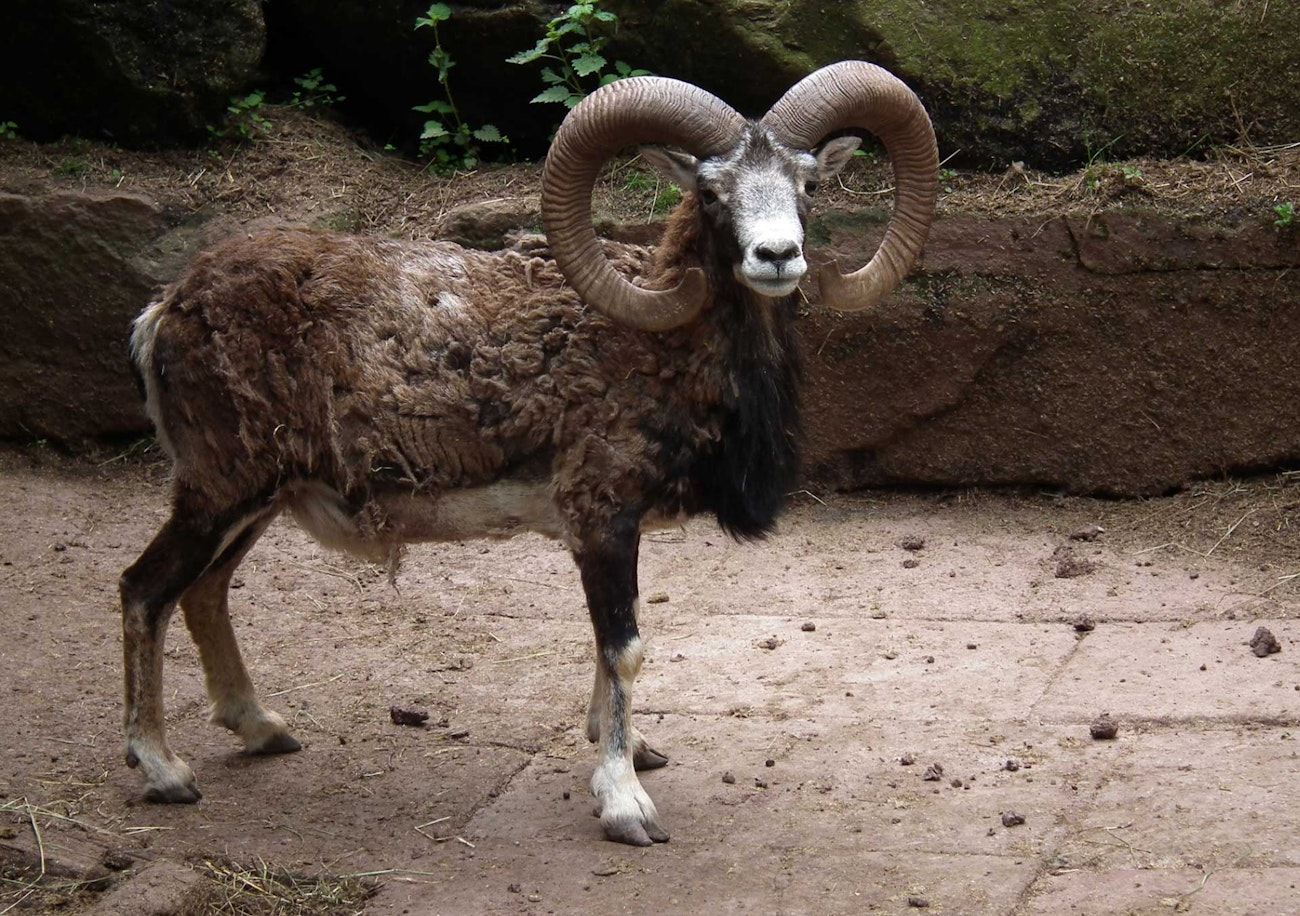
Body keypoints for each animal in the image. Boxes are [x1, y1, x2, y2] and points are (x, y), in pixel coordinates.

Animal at [119, 61, 938, 846]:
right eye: (712, 192)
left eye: (808, 184)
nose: (777, 256)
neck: (655, 346)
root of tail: (167, 309)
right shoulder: (602, 519)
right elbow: (624, 648)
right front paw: (625, 805)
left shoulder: (608, 532)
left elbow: (612, 645)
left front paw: (631, 752)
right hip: (220, 491)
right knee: (146, 589)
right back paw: (164, 770)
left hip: (255, 499)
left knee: (204, 590)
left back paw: (263, 730)